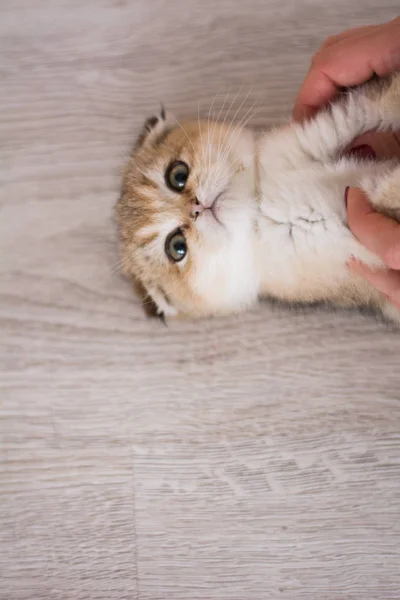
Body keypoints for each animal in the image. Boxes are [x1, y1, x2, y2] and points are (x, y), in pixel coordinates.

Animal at [115, 75, 400, 324]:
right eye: (177, 247)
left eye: (177, 175)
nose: (196, 207)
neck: (261, 203)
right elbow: (385, 198)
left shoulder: (317, 134)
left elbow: (374, 104)